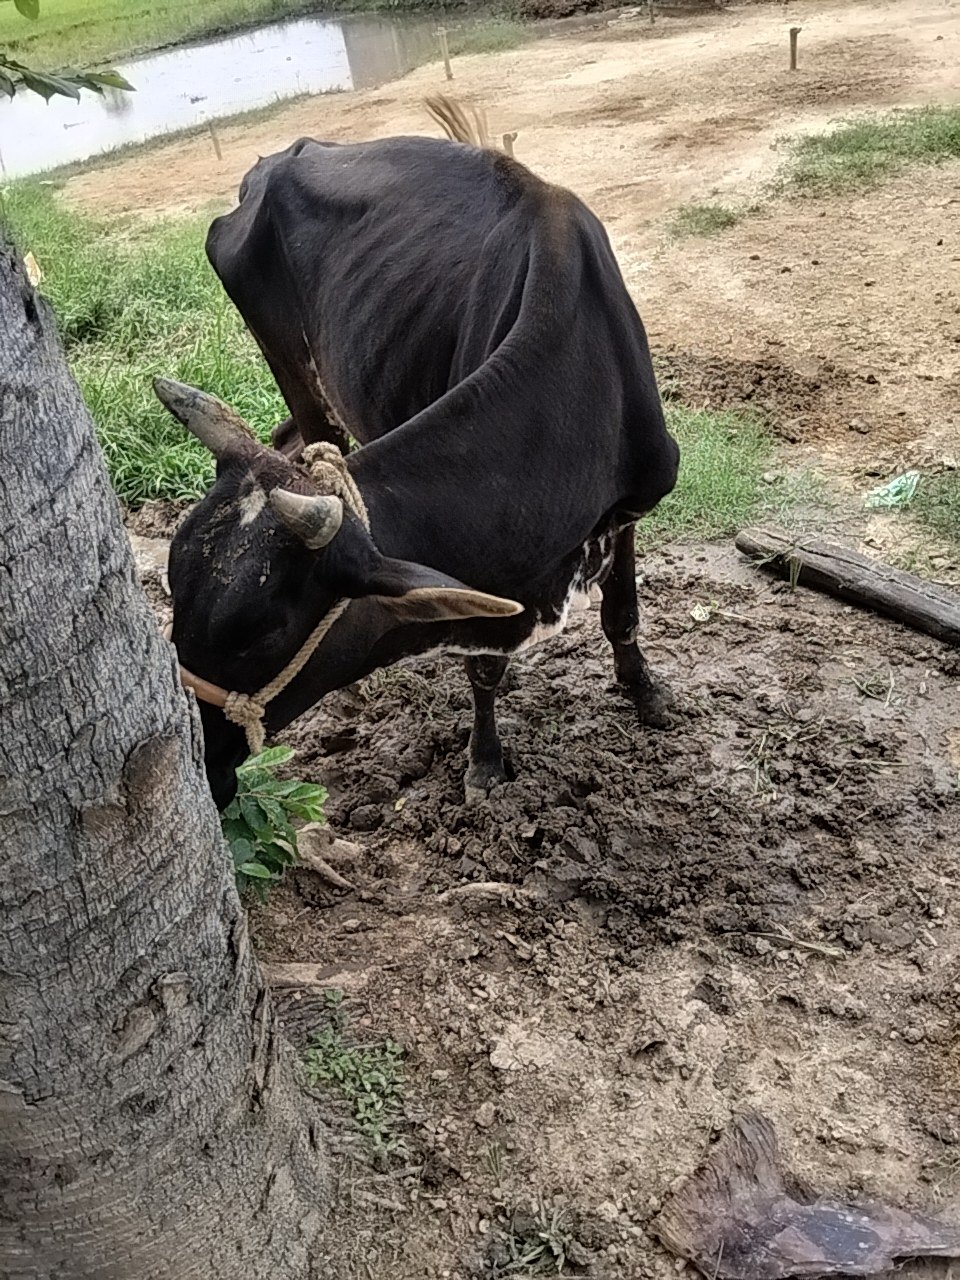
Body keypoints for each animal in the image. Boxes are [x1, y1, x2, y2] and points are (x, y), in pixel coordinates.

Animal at [158, 109, 680, 811]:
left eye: (261, 634)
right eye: (174, 591)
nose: (200, 767)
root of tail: (276, 159)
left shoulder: (630, 506)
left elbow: (622, 611)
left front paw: (644, 691)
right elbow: (485, 665)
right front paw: (485, 760)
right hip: (297, 369)